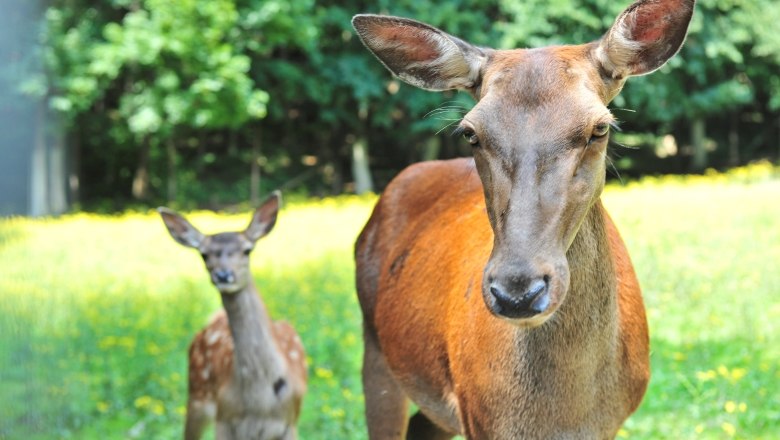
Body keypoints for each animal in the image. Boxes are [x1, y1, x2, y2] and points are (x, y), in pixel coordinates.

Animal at [157, 192, 306, 440]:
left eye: (247, 250)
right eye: (204, 254)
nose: (223, 275)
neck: (260, 402)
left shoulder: (289, 422)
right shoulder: (224, 419)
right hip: (196, 393)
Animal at [354, 1, 696, 438]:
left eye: (600, 127)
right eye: (470, 133)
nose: (517, 290)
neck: (565, 415)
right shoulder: (479, 417)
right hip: (375, 348)